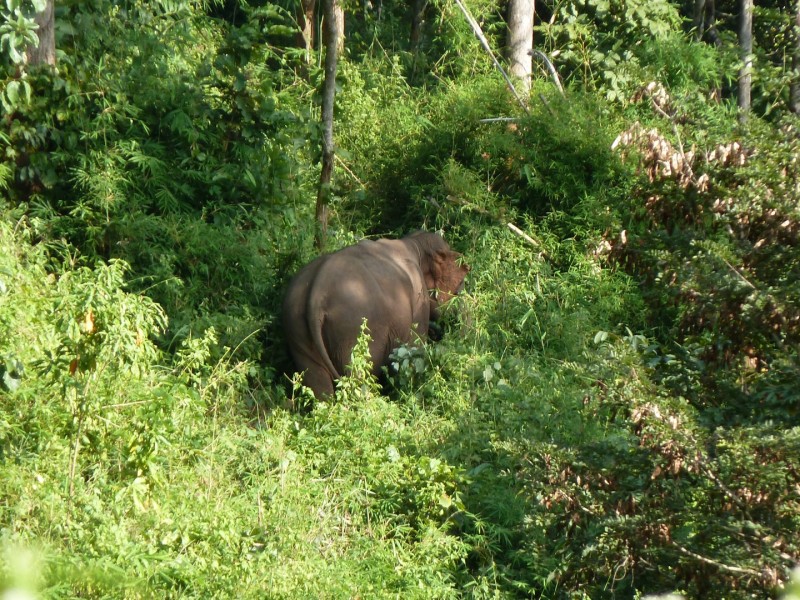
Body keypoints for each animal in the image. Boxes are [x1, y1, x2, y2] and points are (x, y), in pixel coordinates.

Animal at [282, 231, 468, 398]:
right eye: (461, 283)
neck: (413, 242)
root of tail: (316, 295)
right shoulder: (418, 296)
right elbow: (415, 347)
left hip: (297, 329)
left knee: (318, 384)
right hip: (353, 330)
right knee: (359, 375)